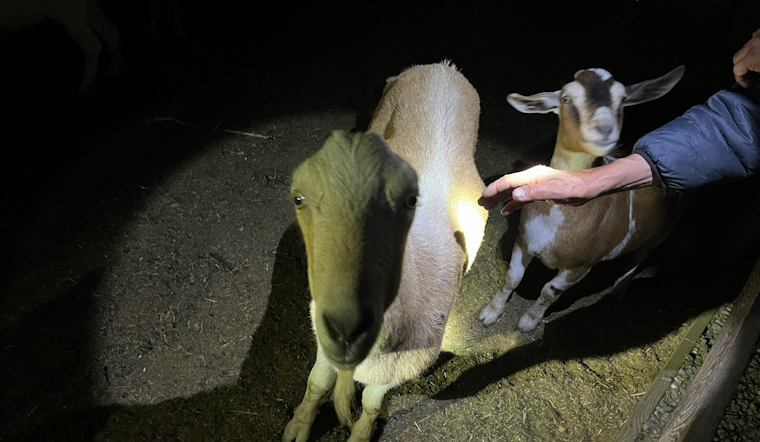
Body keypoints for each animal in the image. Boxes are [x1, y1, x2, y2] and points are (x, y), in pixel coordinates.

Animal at [283, 61, 487, 442]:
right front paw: (299, 426)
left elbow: (371, 406)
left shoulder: (394, 370)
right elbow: (317, 383)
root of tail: (442, 68)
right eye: (298, 199)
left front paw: (360, 434)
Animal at [479, 66, 685, 332]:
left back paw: (619, 290)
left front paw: (528, 322)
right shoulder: (524, 240)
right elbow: (512, 278)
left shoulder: (580, 266)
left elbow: (549, 291)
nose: (604, 129)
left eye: (623, 100)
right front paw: (490, 313)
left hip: (663, 231)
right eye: (566, 99)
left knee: (640, 256)